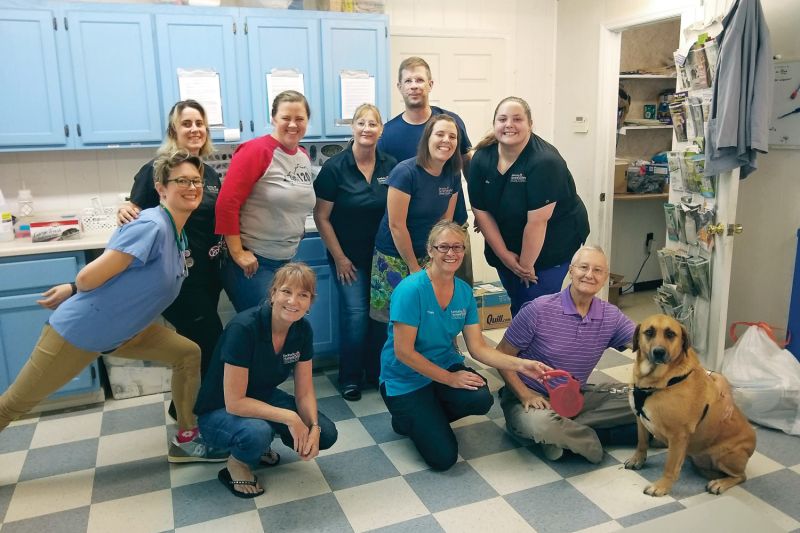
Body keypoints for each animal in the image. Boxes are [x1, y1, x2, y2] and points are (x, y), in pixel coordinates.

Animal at [624, 312, 756, 494]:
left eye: (670, 334)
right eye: (649, 332)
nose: (659, 352)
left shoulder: (678, 435)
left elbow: (670, 466)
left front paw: (661, 487)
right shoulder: (640, 421)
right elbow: (641, 443)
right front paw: (638, 459)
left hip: (725, 455)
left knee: (741, 476)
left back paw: (720, 483)